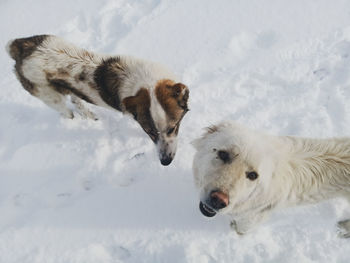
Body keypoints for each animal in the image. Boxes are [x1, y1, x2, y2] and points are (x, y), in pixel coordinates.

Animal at [6, 35, 189, 166]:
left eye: (172, 128)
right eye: (149, 132)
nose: (165, 162)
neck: (144, 82)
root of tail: (18, 47)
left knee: (77, 101)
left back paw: (92, 117)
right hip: (49, 95)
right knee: (67, 111)